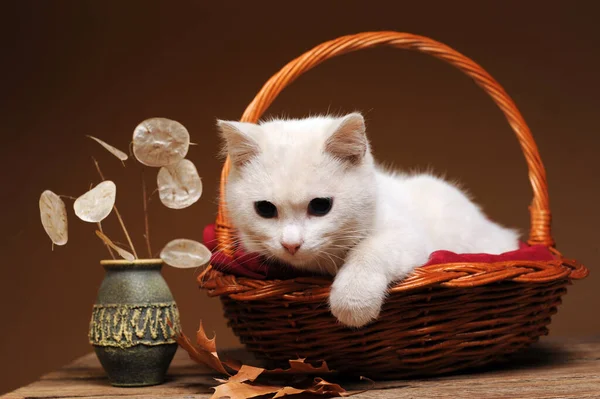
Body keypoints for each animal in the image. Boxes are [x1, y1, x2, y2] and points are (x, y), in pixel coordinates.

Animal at [217, 112, 520, 328]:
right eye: (265, 209)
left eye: (320, 206)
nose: (291, 244)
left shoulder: (408, 237)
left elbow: (370, 251)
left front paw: (353, 300)